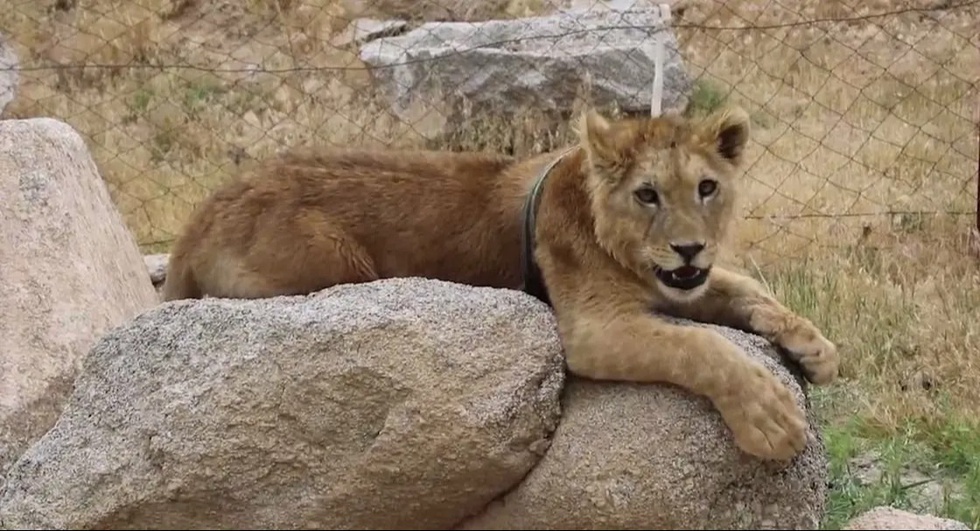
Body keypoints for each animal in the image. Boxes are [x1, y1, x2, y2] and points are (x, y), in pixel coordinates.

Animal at [162, 105, 839, 461]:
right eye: (648, 194)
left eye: (707, 187)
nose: (689, 245)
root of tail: (198, 218)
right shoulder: (594, 328)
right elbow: (699, 347)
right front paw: (770, 417)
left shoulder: (683, 284)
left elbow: (746, 287)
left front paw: (815, 348)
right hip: (327, 263)